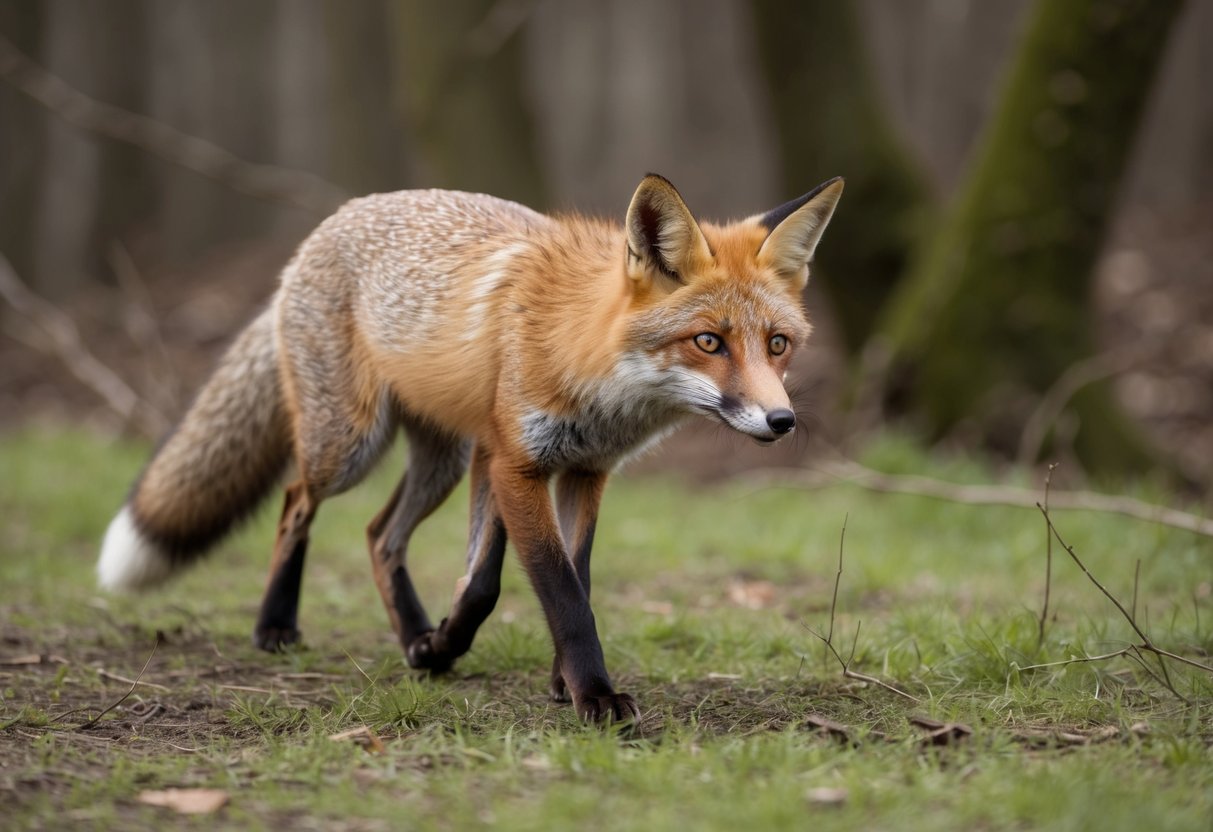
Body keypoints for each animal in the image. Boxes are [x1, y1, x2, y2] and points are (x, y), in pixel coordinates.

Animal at [97, 173, 843, 722]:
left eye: (777, 344)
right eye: (709, 342)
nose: (781, 420)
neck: (588, 365)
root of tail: (331, 222)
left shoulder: (580, 471)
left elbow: (562, 579)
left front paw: (478, 658)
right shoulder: (516, 464)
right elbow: (542, 590)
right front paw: (593, 695)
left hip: (445, 461)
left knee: (378, 535)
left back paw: (411, 637)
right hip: (349, 445)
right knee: (293, 503)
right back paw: (276, 624)